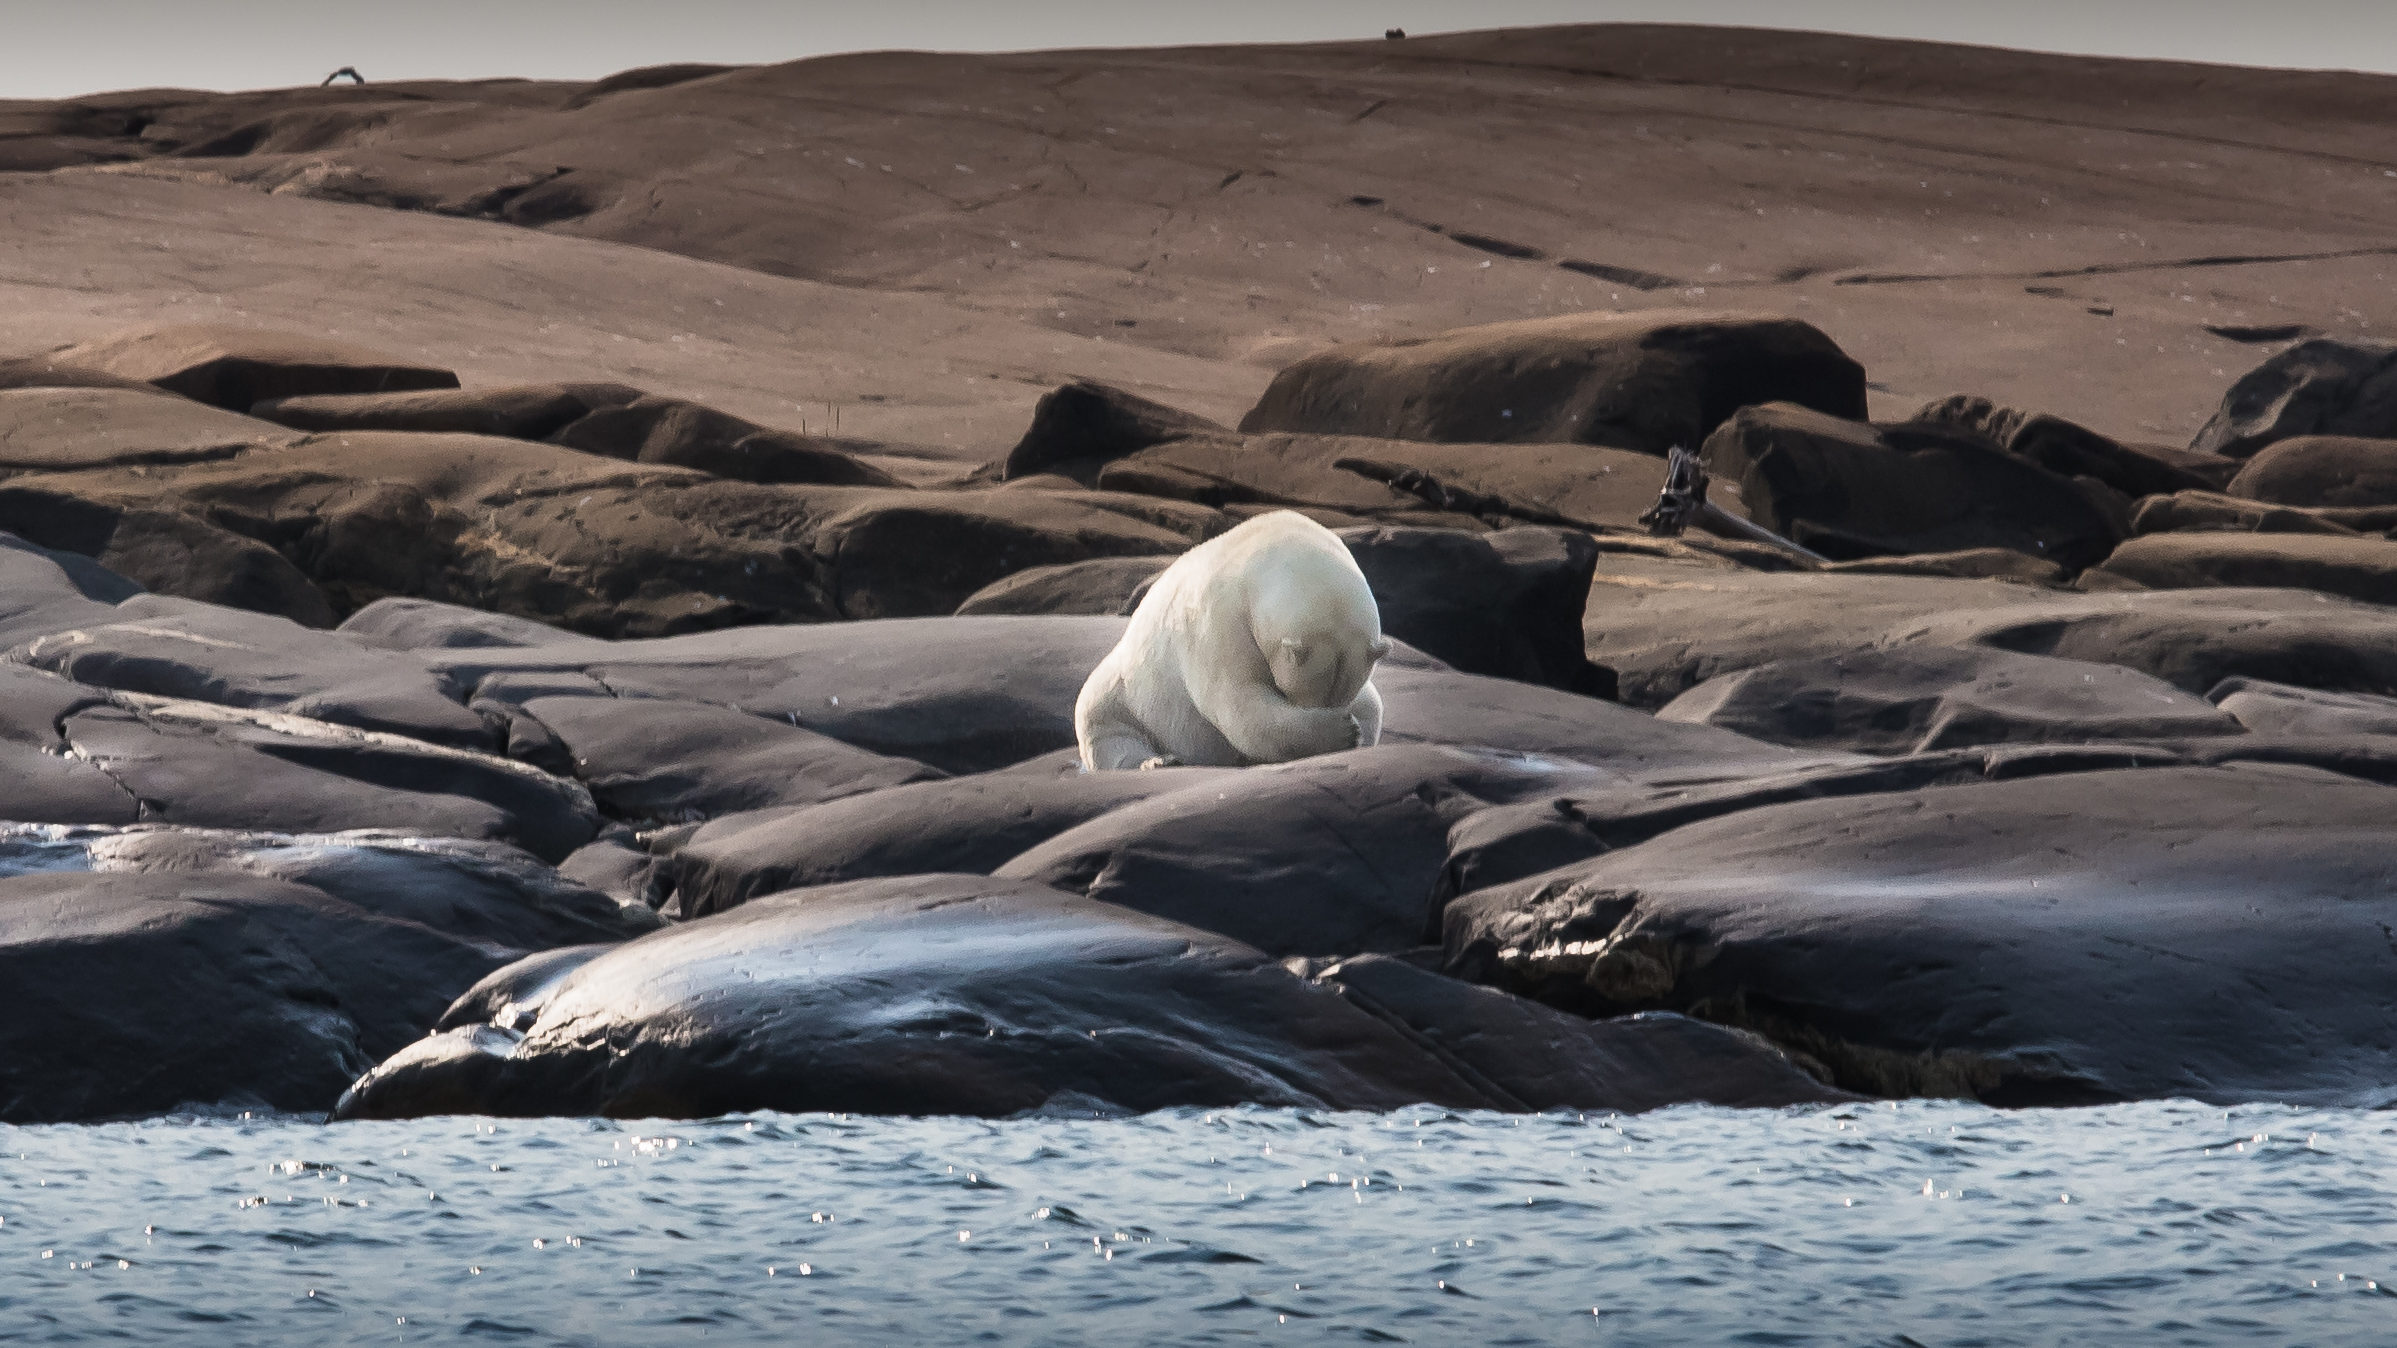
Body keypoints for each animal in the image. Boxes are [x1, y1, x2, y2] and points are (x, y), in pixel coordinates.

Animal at [1078, 508, 1399, 772]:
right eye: (1296, 695)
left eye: (1339, 697)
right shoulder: (1221, 620)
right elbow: (1239, 702)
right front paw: (1342, 731)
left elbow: (1370, 704)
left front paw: (1353, 728)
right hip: (1126, 691)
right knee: (1105, 728)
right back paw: (1158, 760)